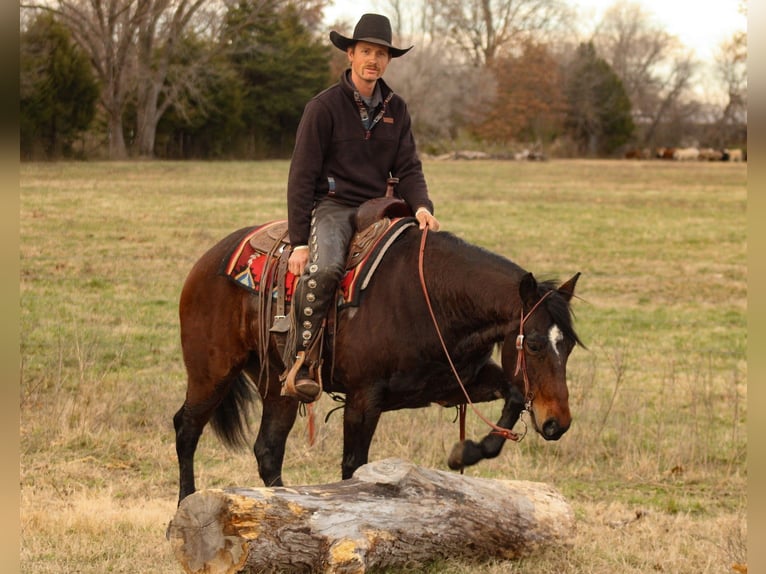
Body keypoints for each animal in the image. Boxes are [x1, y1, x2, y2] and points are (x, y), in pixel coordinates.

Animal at [173, 221, 582, 503]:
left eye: (568, 346)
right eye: (533, 344)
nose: (557, 423)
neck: (433, 299)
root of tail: (209, 260)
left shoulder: (456, 383)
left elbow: (513, 396)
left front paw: (464, 453)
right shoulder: (363, 398)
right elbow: (354, 466)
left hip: (278, 384)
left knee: (268, 450)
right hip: (212, 371)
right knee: (187, 428)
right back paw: (184, 505)